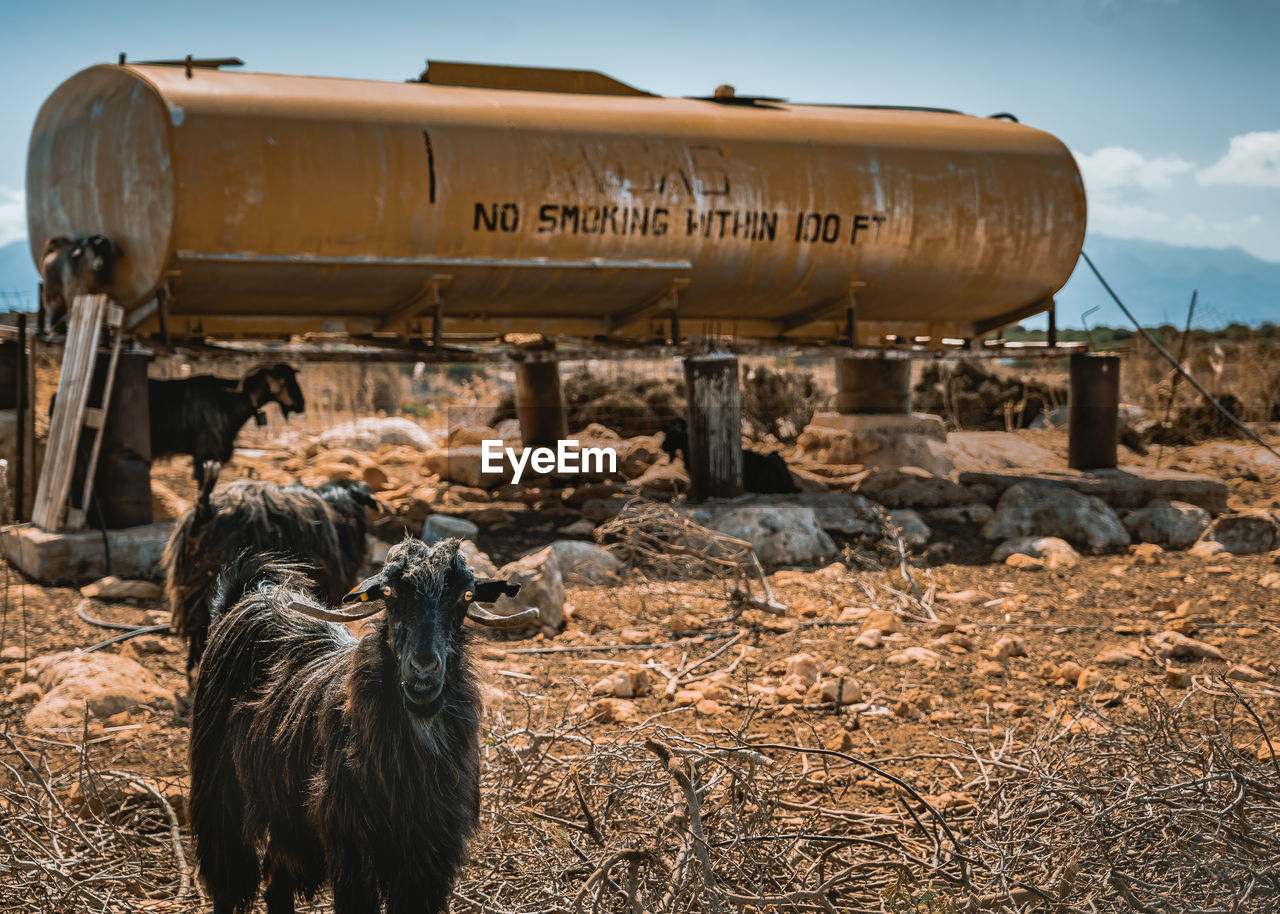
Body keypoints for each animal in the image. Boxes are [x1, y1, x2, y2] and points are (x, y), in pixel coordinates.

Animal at [189, 537, 529, 911]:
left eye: (466, 596)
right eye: (389, 593)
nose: (423, 669)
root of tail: (249, 596)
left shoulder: (430, 855)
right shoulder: (351, 847)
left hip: (287, 818)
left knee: (276, 883)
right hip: (218, 795)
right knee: (228, 881)